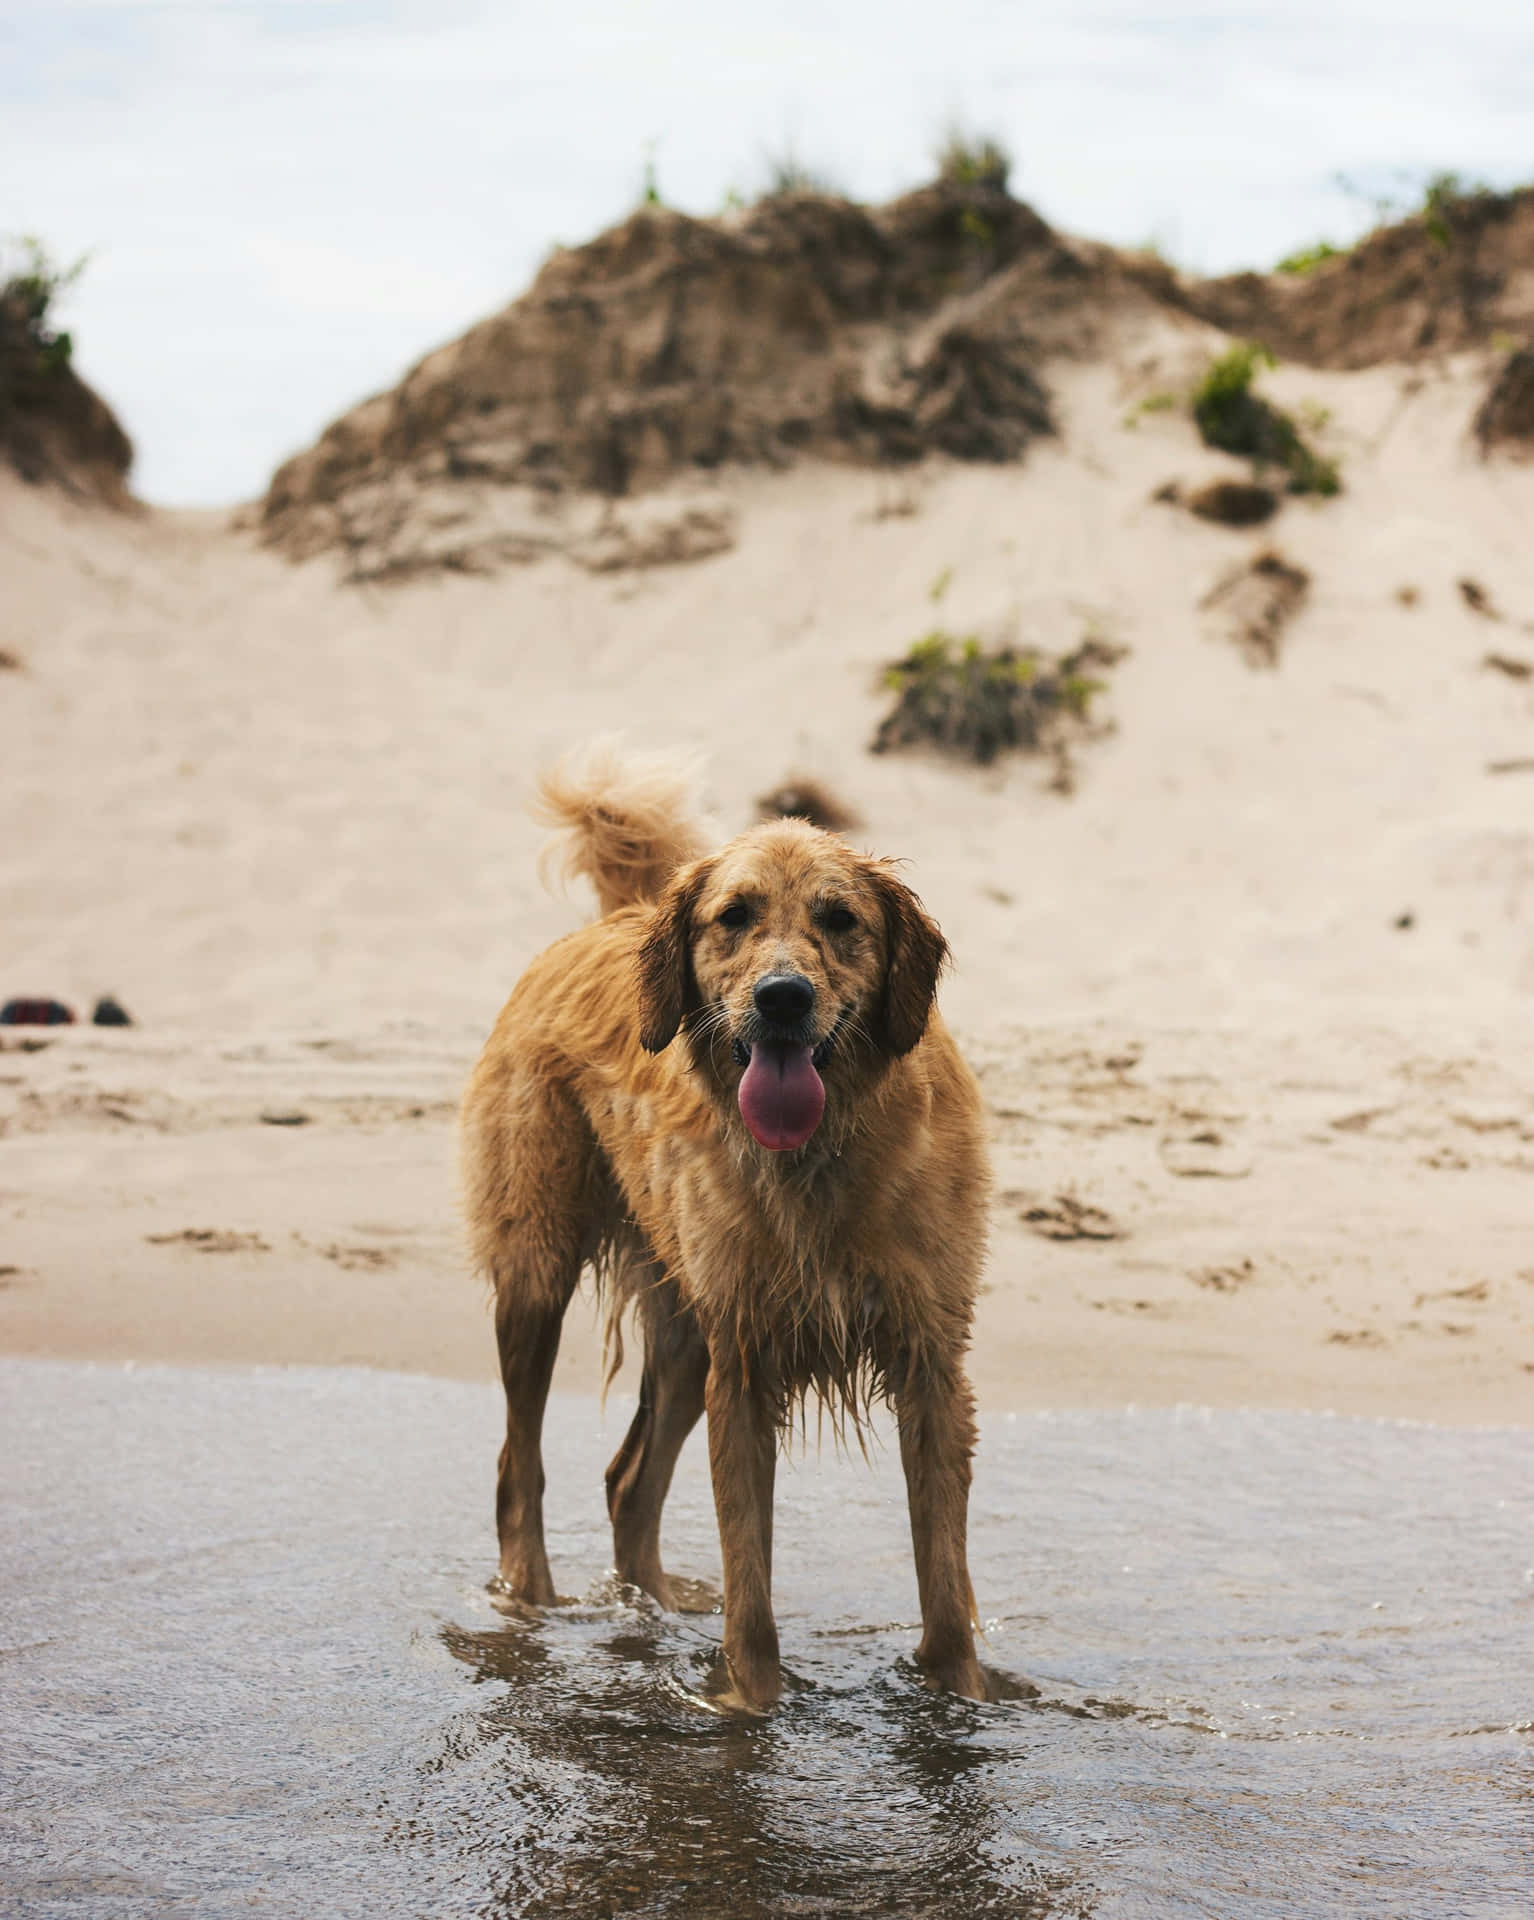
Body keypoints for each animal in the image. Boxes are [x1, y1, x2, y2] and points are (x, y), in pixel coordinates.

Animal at [462, 748, 998, 1712]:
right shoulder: (744, 1365)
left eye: (840, 918)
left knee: (628, 1483)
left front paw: (960, 1702)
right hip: (539, 1271)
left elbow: (944, 1582)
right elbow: (750, 1582)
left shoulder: (930, 1361)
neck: (820, 1158)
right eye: (734, 917)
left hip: (684, 1331)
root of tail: (620, 916)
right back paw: (532, 1610)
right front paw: (749, 1707)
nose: (782, 998)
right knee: (518, 1465)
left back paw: (652, 1610)